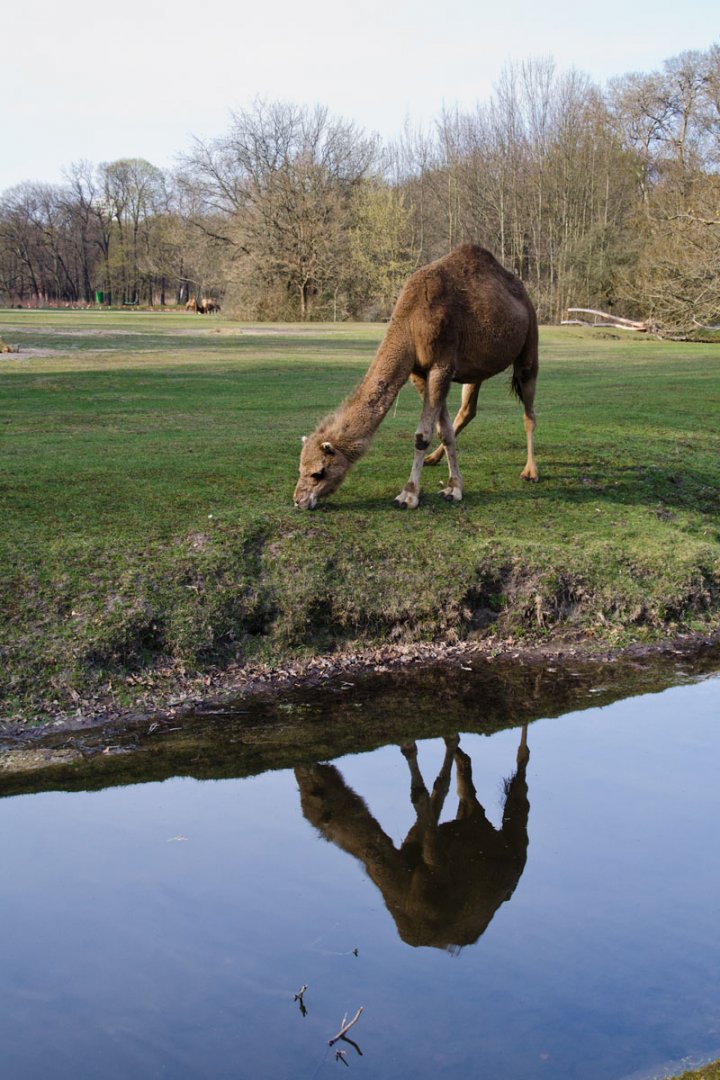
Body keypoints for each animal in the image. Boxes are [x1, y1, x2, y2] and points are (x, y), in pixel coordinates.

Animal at [294, 244, 538, 510]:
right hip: (476, 370)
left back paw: (530, 471)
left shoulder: (441, 365)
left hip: (529, 345)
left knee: (529, 409)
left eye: (318, 472)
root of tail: (524, 295)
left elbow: (422, 435)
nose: (298, 500)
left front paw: (409, 494)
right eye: (300, 469)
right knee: (468, 409)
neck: (410, 322)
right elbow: (444, 431)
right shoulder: (419, 372)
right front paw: (454, 487)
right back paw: (433, 458)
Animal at [295, 728, 530, 950]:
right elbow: (433, 790)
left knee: (521, 772)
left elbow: (425, 791)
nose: (299, 768)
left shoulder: (435, 873)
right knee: (466, 781)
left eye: (314, 792)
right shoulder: (415, 848)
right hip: (470, 815)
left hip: (515, 845)